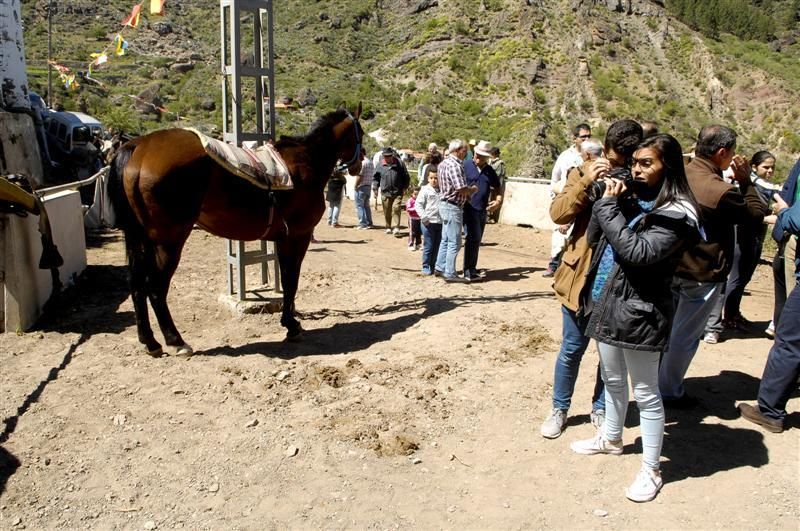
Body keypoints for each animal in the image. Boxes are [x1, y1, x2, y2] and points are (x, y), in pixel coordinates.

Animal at [108, 104, 362, 356]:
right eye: (359, 131)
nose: (359, 164)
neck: (307, 160)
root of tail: (139, 146)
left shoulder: (282, 239)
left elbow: (287, 280)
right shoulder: (299, 236)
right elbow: (291, 280)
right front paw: (292, 326)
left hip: (142, 240)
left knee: (137, 284)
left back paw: (150, 341)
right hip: (168, 242)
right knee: (155, 287)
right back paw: (176, 341)